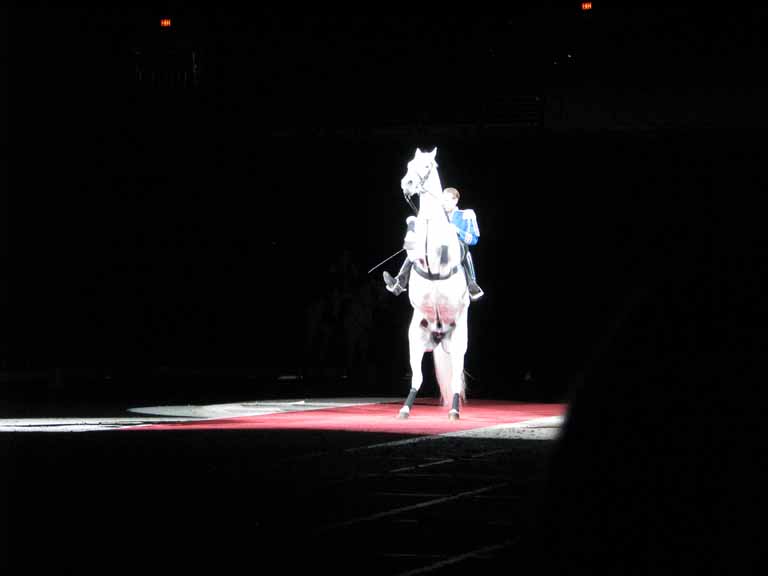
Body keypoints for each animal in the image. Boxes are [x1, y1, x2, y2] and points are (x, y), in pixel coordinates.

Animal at [400, 146, 472, 420]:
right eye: (410, 164)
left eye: (428, 166)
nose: (407, 184)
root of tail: (439, 336)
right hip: (415, 340)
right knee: (417, 378)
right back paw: (405, 409)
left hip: (459, 341)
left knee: (454, 378)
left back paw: (454, 411)